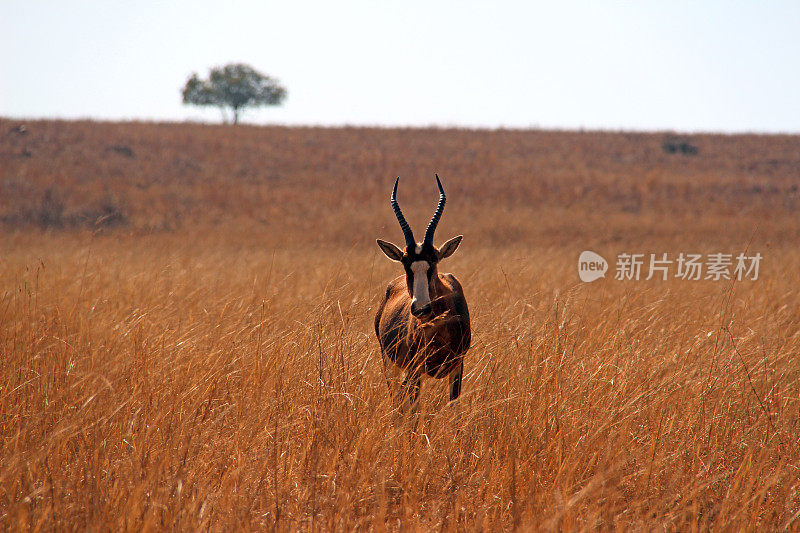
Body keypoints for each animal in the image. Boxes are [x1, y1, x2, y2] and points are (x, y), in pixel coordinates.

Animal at [374, 175, 468, 404]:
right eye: (405, 263)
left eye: (433, 261)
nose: (421, 309)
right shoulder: (415, 370)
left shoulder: (458, 366)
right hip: (391, 366)